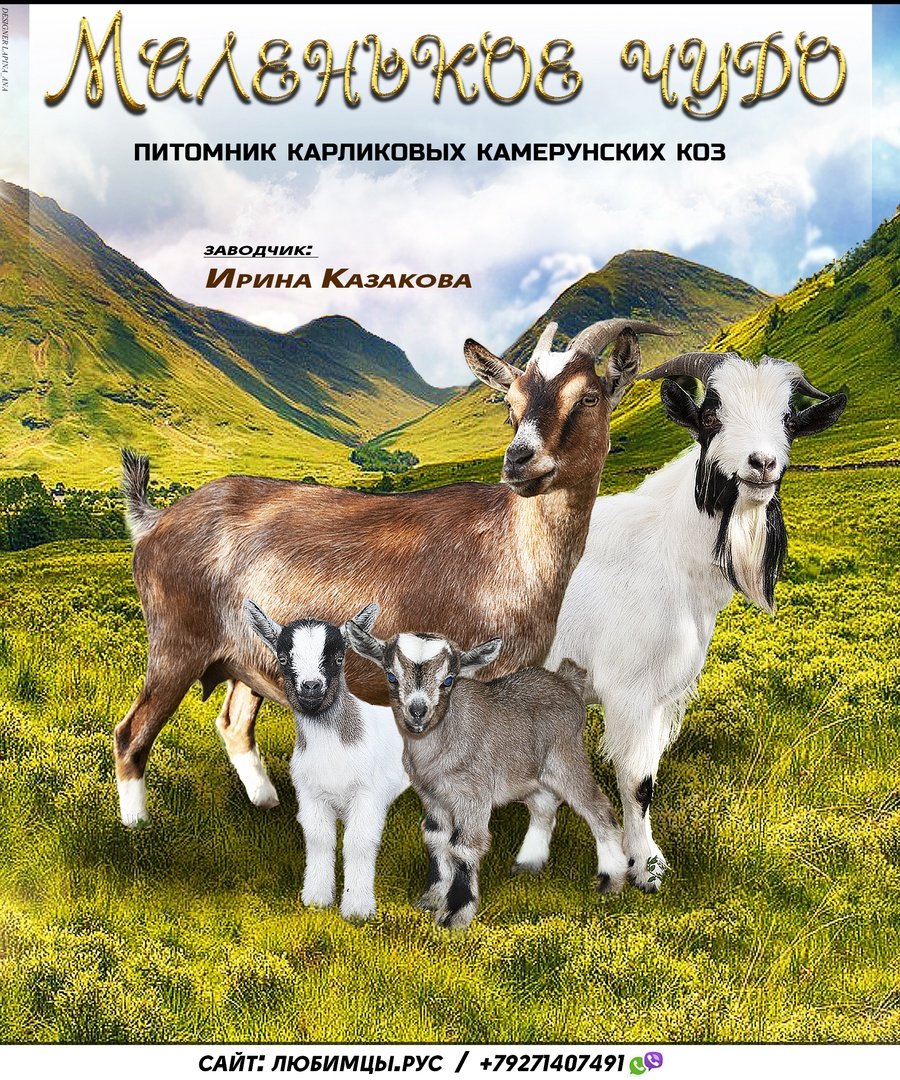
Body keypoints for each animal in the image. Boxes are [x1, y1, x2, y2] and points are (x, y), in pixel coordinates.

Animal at [115, 318, 670, 825]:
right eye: (509, 407)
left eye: (590, 398)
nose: (519, 461)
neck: (513, 549)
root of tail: (153, 521)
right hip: (176, 642)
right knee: (131, 734)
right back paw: (137, 827)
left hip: (246, 658)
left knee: (232, 722)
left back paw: (269, 802)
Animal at [243, 601, 408, 920]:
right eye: (283, 658)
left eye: (339, 657)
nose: (311, 686)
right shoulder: (311, 795)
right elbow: (319, 840)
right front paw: (317, 899)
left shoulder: (367, 794)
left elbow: (358, 842)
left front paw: (357, 908)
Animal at [346, 619, 629, 930]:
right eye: (391, 676)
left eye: (448, 680)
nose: (418, 711)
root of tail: (568, 681)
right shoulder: (432, 796)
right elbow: (435, 838)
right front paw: (431, 899)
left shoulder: (474, 795)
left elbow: (464, 847)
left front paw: (455, 913)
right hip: (530, 774)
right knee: (544, 807)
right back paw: (528, 863)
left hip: (565, 758)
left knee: (598, 808)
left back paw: (611, 879)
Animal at [546, 352, 847, 891]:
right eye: (711, 417)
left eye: (789, 420)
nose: (761, 463)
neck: (668, 548)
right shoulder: (630, 691)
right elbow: (637, 782)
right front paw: (644, 869)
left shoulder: (662, 695)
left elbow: (646, 778)